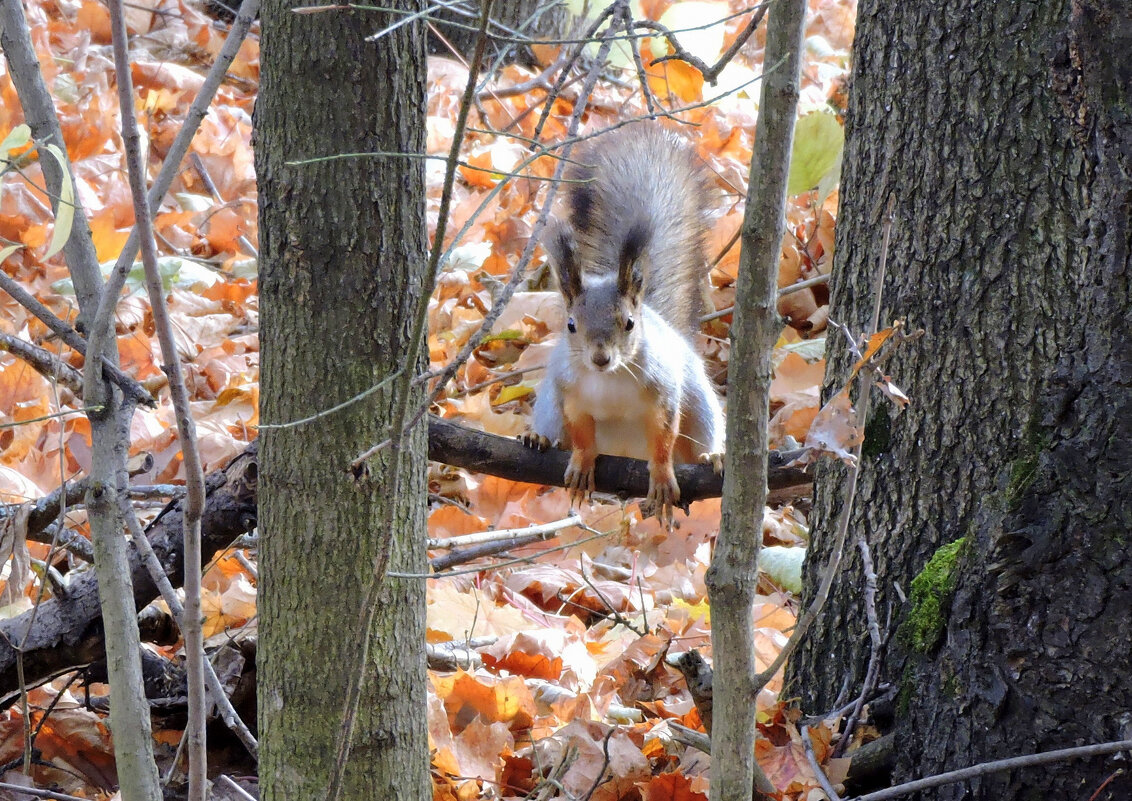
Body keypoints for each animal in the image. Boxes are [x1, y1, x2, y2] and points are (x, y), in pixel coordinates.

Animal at [520, 123, 724, 524]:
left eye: (629, 323)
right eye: (571, 325)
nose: (600, 358)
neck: (609, 380)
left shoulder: (663, 391)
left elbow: (663, 437)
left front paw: (661, 476)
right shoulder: (571, 394)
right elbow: (582, 435)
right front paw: (582, 464)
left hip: (699, 403)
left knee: (700, 430)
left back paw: (712, 455)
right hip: (550, 398)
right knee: (553, 422)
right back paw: (540, 438)